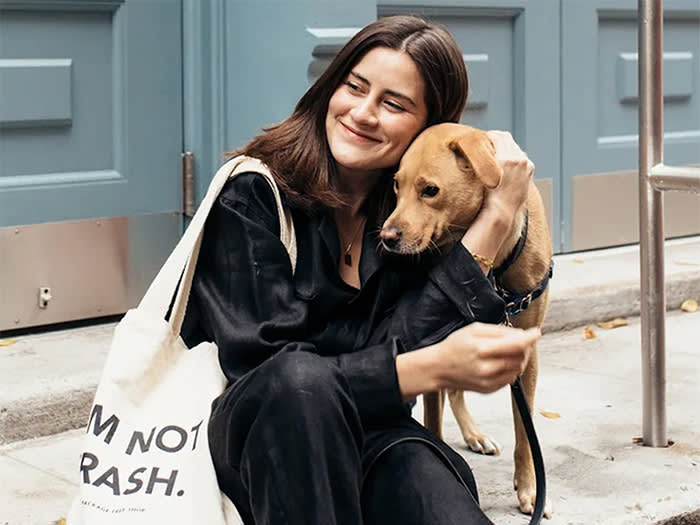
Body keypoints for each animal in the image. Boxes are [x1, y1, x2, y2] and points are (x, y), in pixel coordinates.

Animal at [380, 123, 556, 516]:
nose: (386, 237)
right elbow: (432, 419)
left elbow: (525, 432)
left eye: (430, 190)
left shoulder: (526, 354)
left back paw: (474, 435)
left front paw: (529, 490)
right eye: (397, 185)